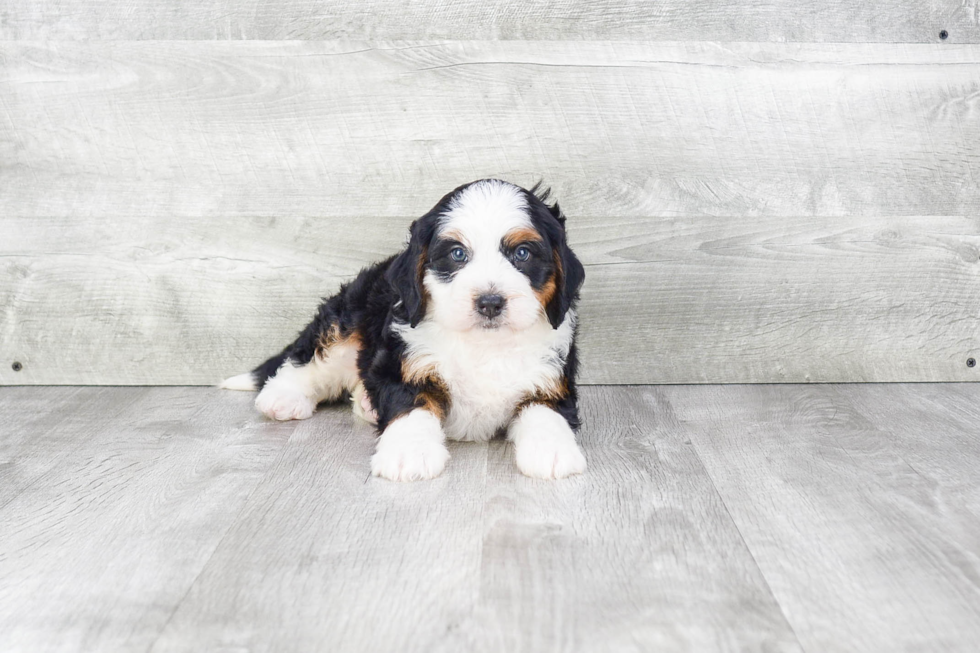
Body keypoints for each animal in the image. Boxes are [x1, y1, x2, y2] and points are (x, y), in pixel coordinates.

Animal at [222, 178, 584, 478]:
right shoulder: (403, 363)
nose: (490, 302)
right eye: (457, 254)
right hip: (349, 317)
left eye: (522, 253)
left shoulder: (551, 378)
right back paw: (282, 397)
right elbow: (411, 405)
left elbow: (545, 410)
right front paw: (409, 453)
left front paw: (552, 450)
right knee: (309, 358)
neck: (484, 345)